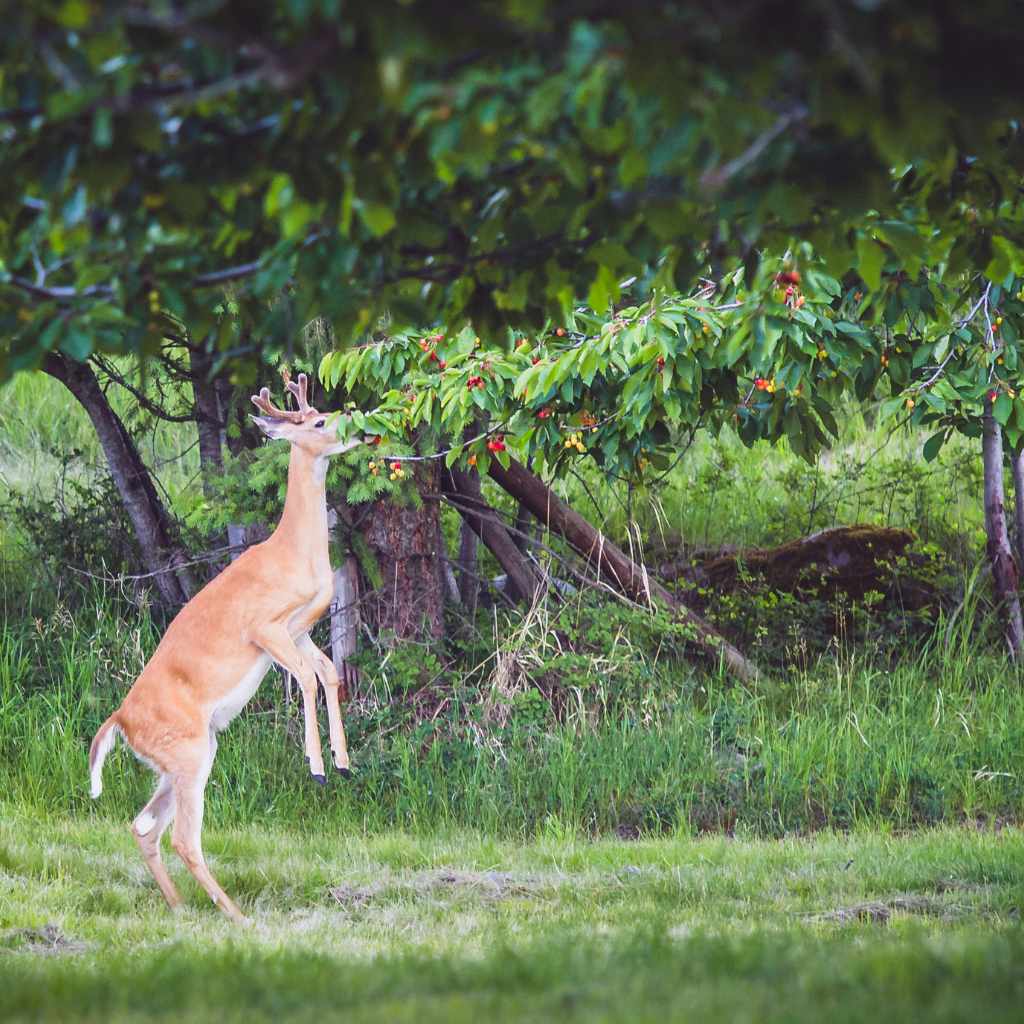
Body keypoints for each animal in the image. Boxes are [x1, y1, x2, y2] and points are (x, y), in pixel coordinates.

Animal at [88, 373, 363, 922]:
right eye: (318, 421)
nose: (357, 427)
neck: (295, 554)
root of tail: (120, 721)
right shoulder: (265, 628)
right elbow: (306, 677)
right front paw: (317, 767)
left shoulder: (300, 629)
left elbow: (328, 673)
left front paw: (342, 761)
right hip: (189, 752)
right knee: (182, 838)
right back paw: (235, 915)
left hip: (184, 757)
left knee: (143, 826)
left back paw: (181, 908)